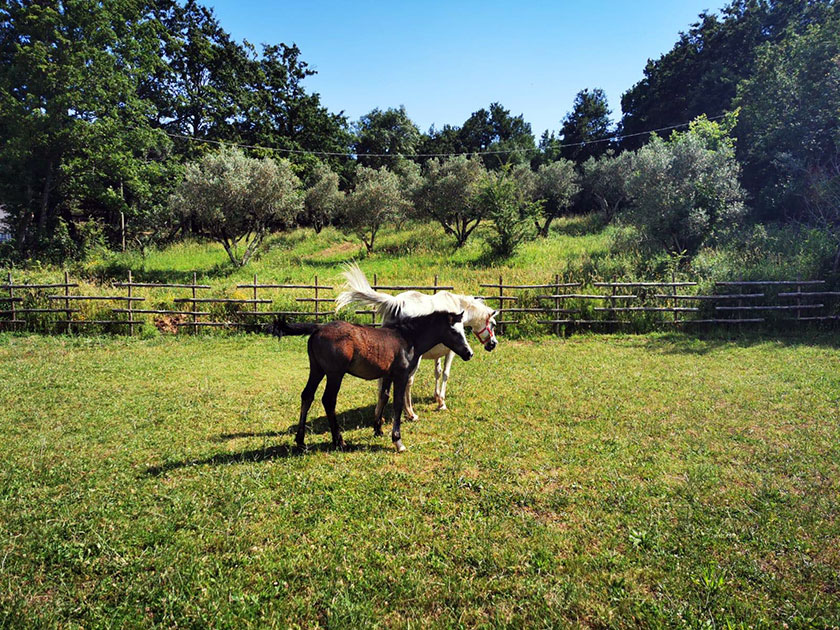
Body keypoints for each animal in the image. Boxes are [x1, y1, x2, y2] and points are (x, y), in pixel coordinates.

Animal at [270, 312, 472, 452]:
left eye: (463, 331)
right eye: (454, 331)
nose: (469, 353)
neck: (407, 338)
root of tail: (317, 328)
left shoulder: (388, 375)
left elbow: (384, 396)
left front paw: (378, 429)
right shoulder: (401, 375)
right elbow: (397, 404)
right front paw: (397, 441)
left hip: (317, 370)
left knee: (307, 396)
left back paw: (300, 440)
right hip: (335, 374)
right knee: (328, 400)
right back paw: (339, 441)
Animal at [334, 264, 496, 422]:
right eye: (493, 324)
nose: (493, 344)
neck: (456, 305)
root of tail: (396, 303)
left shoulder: (438, 352)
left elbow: (437, 372)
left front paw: (437, 397)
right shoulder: (450, 352)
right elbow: (445, 374)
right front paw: (442, 402)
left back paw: (380, 414)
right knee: (408, 381)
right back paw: (410, 413)